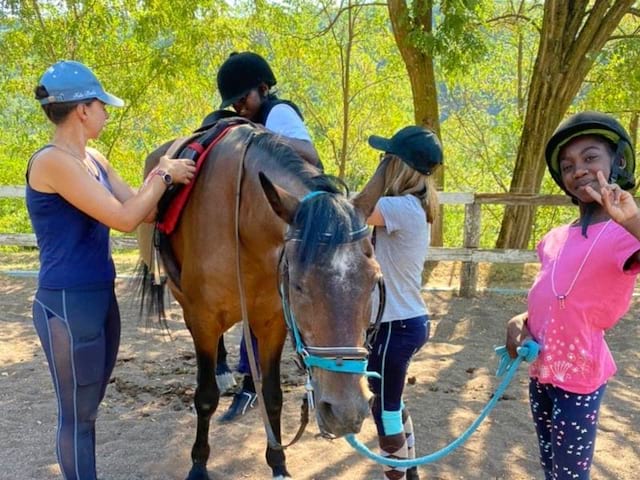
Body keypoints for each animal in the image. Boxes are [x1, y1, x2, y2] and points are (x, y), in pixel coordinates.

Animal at [136, 121, 390, 480]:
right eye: (298, 286)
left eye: (373, 282)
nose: (346, 411)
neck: (241, 217)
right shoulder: (202, 318)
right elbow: (205, 397)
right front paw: (198, 464)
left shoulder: (273, 322)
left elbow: (272, 396)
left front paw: (279, 463)